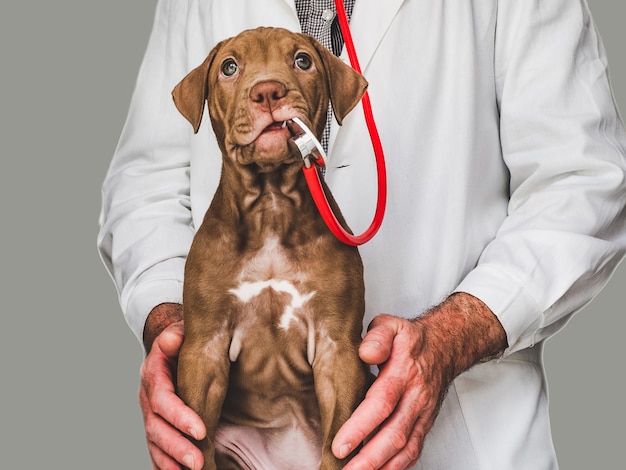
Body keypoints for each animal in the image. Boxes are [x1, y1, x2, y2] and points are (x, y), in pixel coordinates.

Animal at [171, 27, 368, 468]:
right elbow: (197, 439)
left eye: (302, 61)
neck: (271, 205)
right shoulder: (203, 350)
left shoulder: (338, 350)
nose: (268, 91)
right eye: (229, 67)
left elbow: (340, 442)